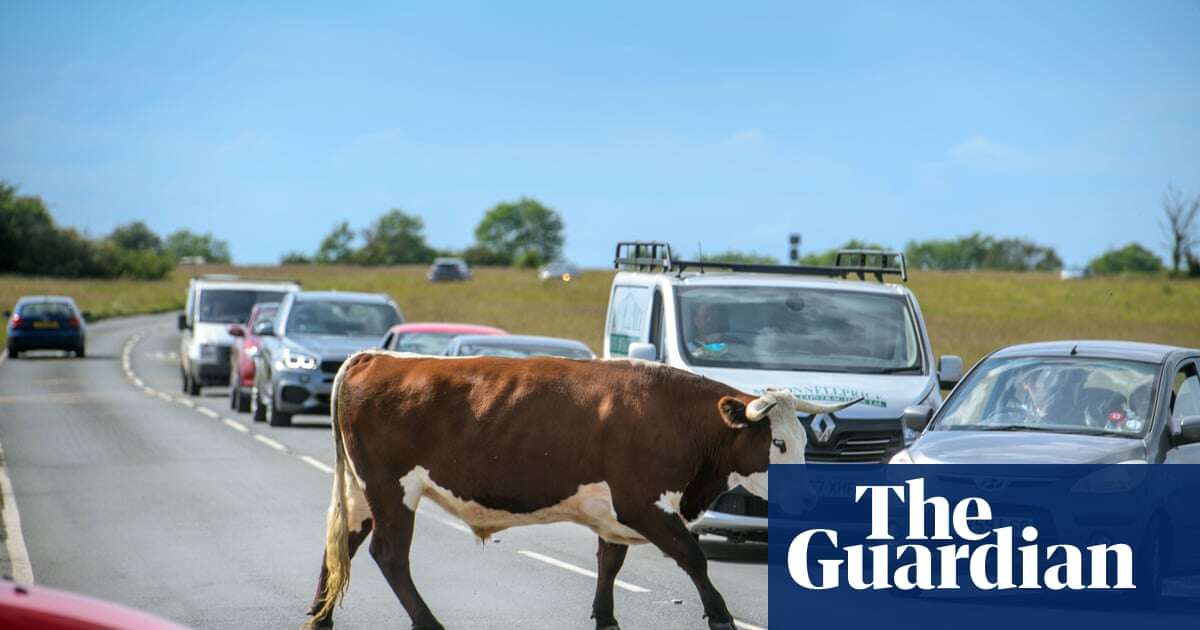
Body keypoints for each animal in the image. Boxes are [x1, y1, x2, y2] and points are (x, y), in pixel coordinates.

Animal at [304, 350, 859, 628]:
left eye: (802, 440)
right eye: (778, 443)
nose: (808, 501)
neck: (672, 415)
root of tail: (376, 356)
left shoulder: (614, 515)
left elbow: (609, 565)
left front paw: (606, 619)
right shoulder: (644, 505)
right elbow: (694, 558)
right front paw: (720, 617)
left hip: (361, 492)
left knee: (340, 547)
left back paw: (320, 619)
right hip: (392, 489)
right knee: (389, 555)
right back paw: (428, 624)